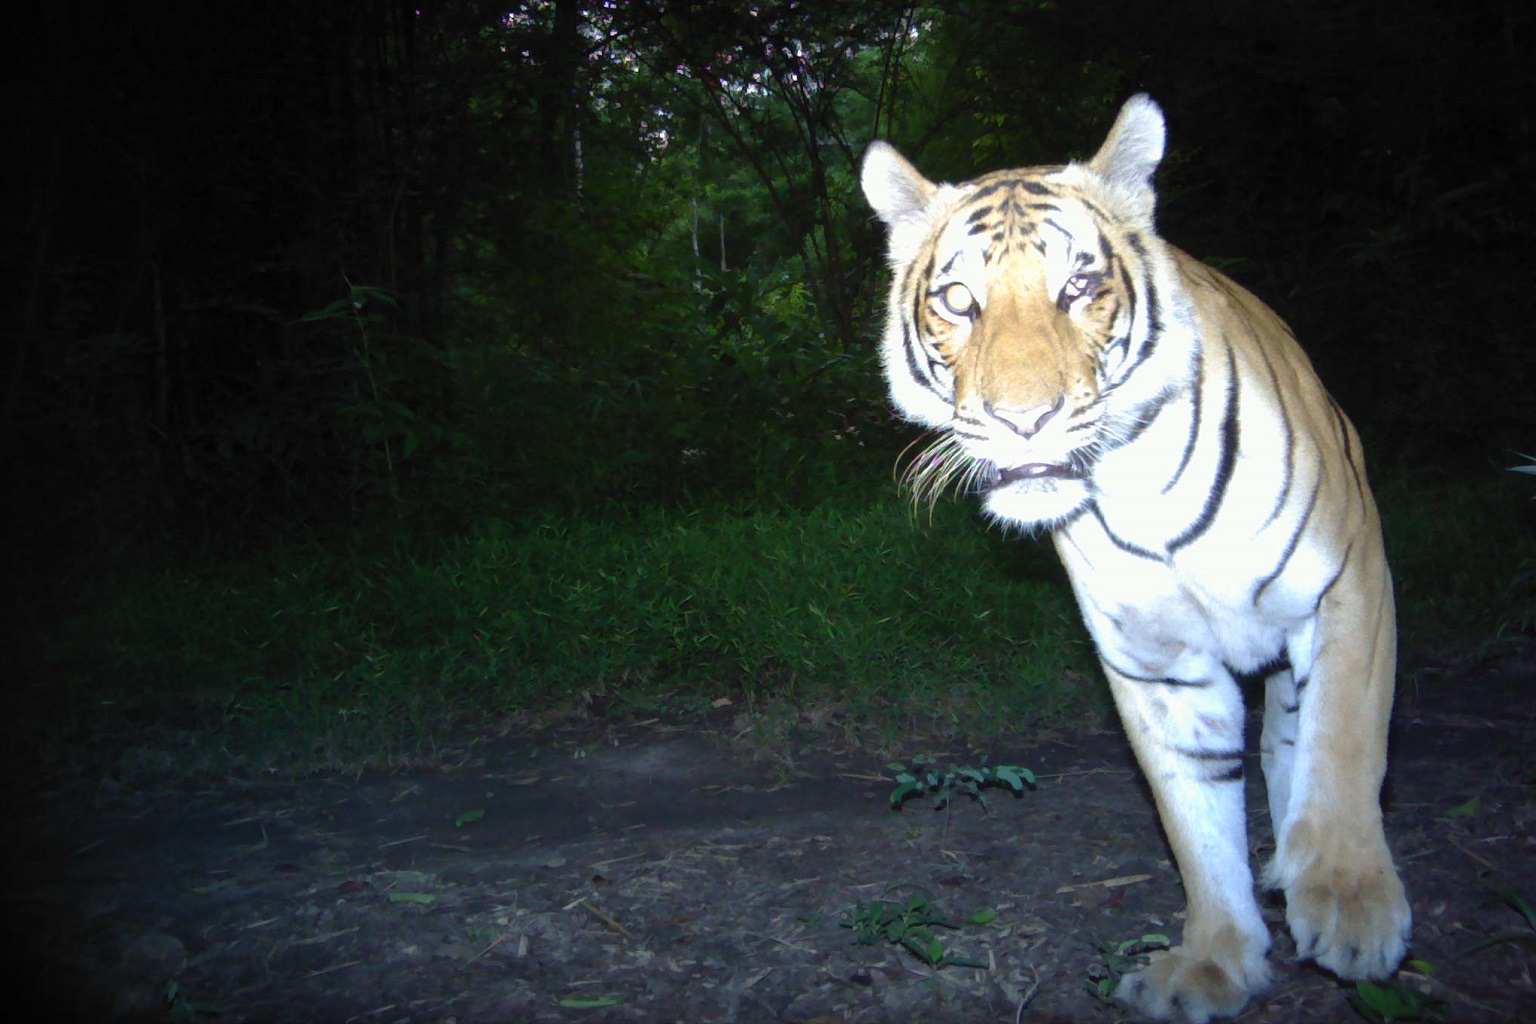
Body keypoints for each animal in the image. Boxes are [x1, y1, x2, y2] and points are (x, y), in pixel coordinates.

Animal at [860, 95, 1409, 1022]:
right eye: (960, 300)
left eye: (1079, 287)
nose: (1023, 420)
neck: (1141, 486)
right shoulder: (1156, 664)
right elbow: (1194, 820)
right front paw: (1215, 961)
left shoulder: (1346, 582)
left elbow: (1344, 744)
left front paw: (1350, 900)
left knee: (1298, 745)